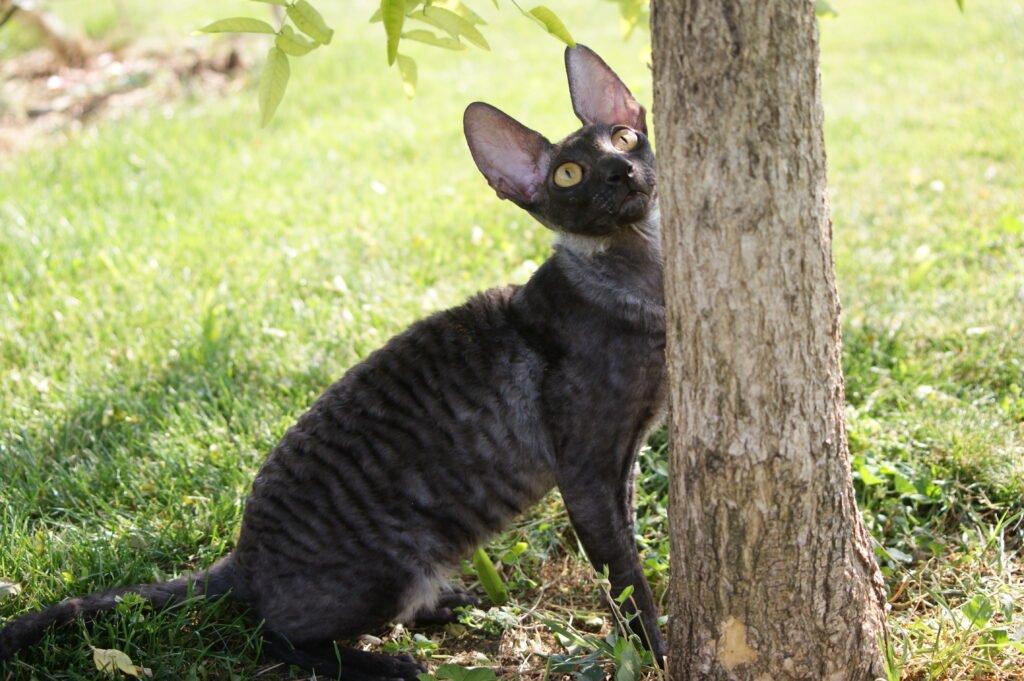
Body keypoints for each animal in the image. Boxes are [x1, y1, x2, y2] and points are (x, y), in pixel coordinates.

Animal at [0, 45, 663, 675]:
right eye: (569, 174)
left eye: (624, 137)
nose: (619, 170)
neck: (643, 280)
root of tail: (243, 556)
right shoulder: (584, 470)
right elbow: (625, 578)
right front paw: (655, 651)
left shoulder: (624, 460)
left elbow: (627, 546)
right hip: (390, 569)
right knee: (273, 635)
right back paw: (386, 664)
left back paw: (444, 605)